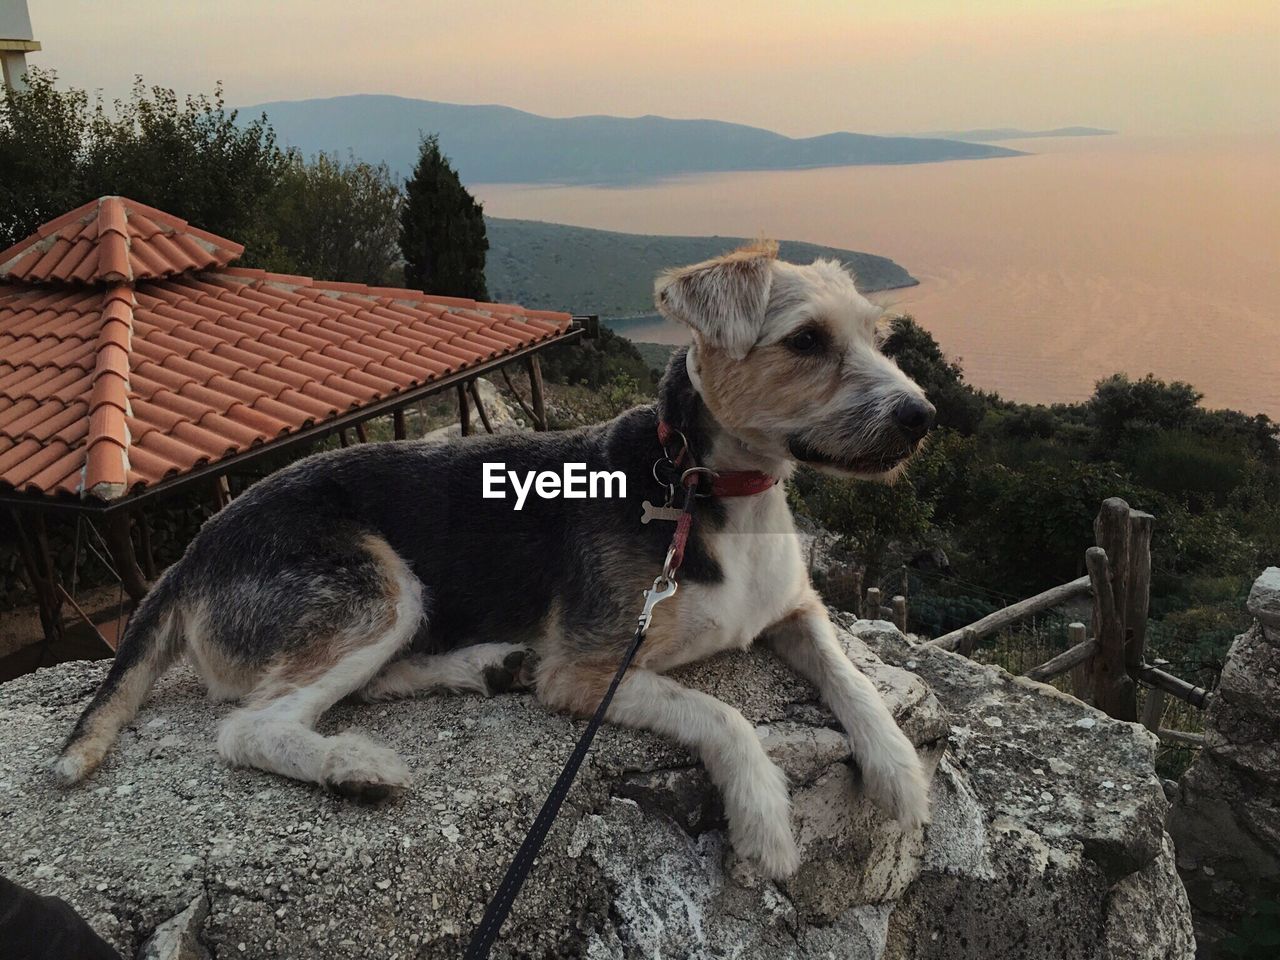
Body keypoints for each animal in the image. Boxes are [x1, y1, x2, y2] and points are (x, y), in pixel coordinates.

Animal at [55, 244, 936, 885]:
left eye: (877, 337)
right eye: (806, 340)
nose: (923, 415)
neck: (703, 486)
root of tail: (193, 553)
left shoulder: (795, 610)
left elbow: (849, 674)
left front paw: (899, 769)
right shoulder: (586, 670)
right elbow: (721, 715)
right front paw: (764, 822)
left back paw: (483, 667)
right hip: (372, 587)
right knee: (251, 726)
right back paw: (351, 765)